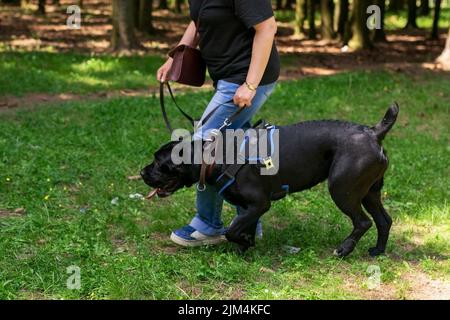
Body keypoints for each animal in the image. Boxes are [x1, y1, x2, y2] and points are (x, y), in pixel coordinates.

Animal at [142, 104, 400, 258]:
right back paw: (378, 250)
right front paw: (245, 246)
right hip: (368, 192)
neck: (214, 157)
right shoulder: (249, 208)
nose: (143, 172)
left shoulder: (259, 204)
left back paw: (344, 249)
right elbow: (241, 227)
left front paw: (245, 243)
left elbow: (231, 230)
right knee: (383, 220)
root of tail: (372, 132)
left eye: (158, 161)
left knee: (363, 222)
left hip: (342, 189)